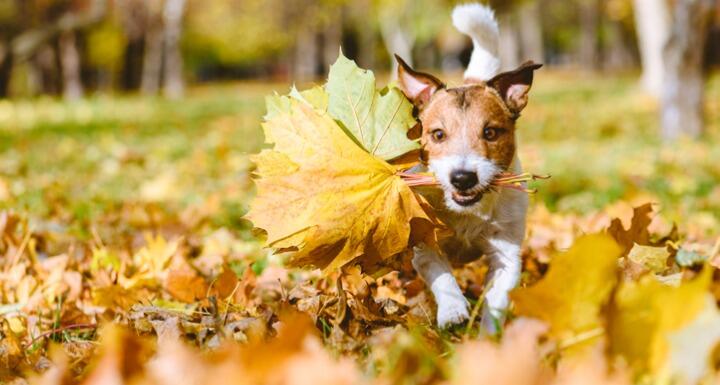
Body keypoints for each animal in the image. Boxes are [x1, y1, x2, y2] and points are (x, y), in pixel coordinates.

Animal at [396, 3, 544, 332]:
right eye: (438, 134)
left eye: (490, 132)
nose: (462, 178)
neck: (467, 212)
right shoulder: (424, 244)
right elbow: (440, 273)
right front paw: (452, 310)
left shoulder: (507, 254)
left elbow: (497, 298)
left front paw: (488, 336)